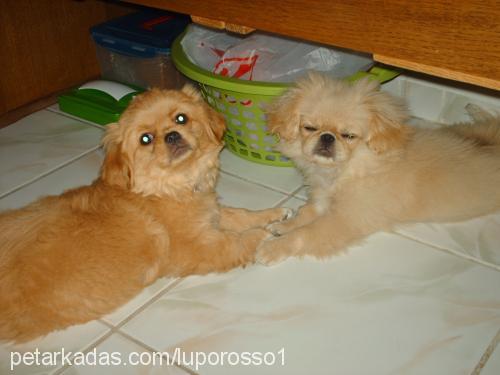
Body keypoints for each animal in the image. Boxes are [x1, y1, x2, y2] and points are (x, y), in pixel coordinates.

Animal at [0, 86, 290, 344]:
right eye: (146, 139)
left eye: (181, 118)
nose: (171, 136)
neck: (167, 188)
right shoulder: (199, 247)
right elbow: (238, 240)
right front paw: (267, 238)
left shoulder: (210, 214)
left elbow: (241, 215)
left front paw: (277, 213)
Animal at [256, 74, 500, 264]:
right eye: (309, 128)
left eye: (348, 135)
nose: (326, 137)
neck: (347, 171)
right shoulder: (323, 202)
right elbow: (305, 214)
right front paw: (283, 225)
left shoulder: (345, 219)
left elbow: (305, 233)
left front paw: (272, 248)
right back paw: (474, 108)